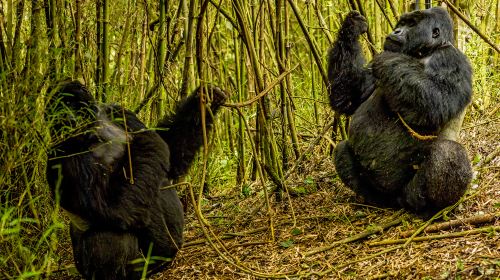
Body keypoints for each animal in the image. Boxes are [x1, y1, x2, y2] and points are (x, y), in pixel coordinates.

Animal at [47, 80, 227, 278]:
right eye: (59, 110)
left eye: (70, 104)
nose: (68, 118)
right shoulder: (61, 155)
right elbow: (113, 207)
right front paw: (145, 138)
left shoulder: (119, 111)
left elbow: (169, 151)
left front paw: (204, 100)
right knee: (109, 233)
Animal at [328, 8, 472, 214]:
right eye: (401, 23)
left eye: (412, 24)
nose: (396, 31)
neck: (426, 50)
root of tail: (396, 202)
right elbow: (348, 98)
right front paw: (352, 27)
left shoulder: (451, 59)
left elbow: (436, 102)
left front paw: (389, 59)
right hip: (384, 196)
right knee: (341, 149)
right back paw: (372, 200)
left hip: (410, 195)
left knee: (448, 152)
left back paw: (434, 210)